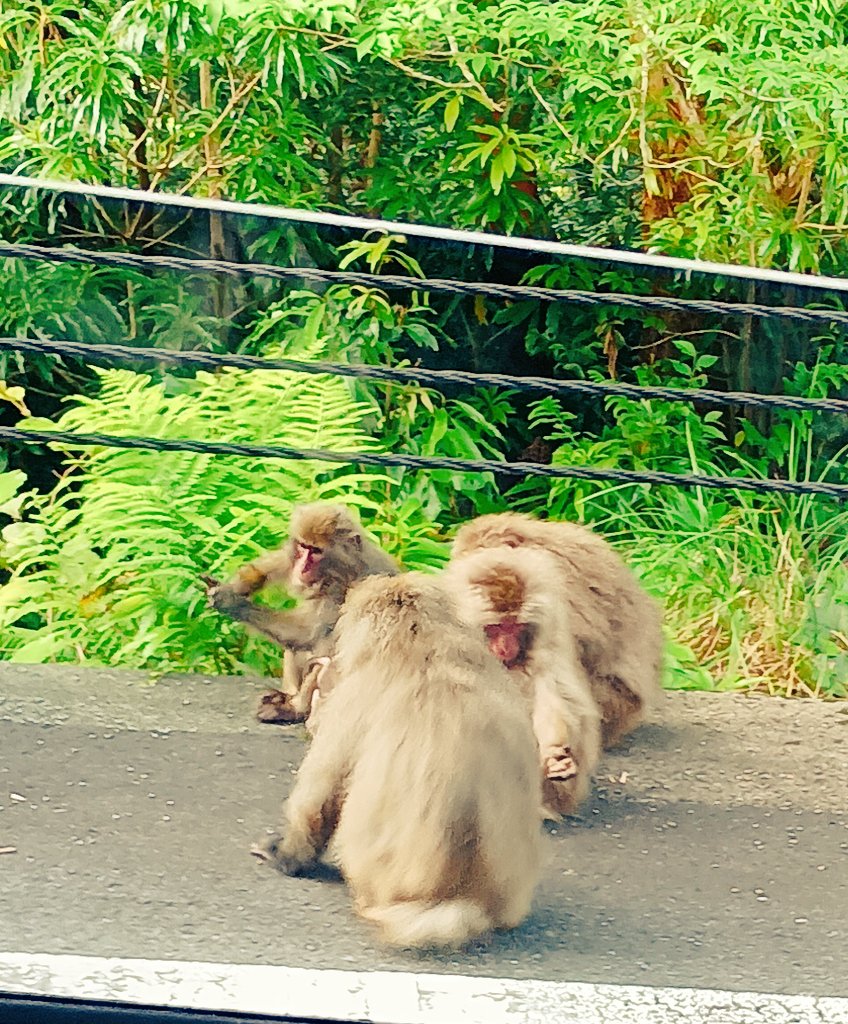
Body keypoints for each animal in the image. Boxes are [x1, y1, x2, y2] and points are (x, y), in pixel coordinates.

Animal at [204, 502, 398, 725]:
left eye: (316, 551)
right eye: (303, 547)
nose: (302, 567)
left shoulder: (340, 592)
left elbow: (308, 633)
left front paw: (232, 603)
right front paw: (236, 587)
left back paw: (295, 709)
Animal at [446, 546, 602, 817]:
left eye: (516, 627)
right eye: (496, 627)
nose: (506, 647)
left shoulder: (549, 641)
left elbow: (555, 695)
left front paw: (553, 755)